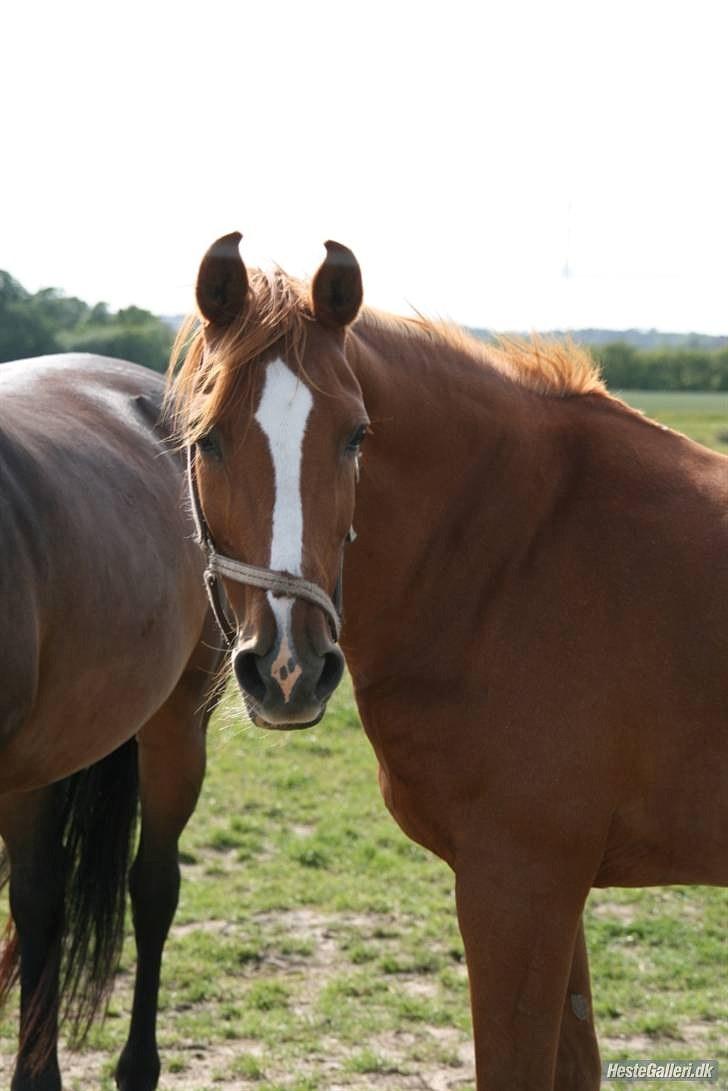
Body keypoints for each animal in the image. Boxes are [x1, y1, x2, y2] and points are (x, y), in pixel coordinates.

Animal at [168, 232, 728, 1091]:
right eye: (208, 438)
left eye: (357, 435)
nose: (291, 667)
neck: (517, 553)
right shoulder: (551, 888)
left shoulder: (519, 886)